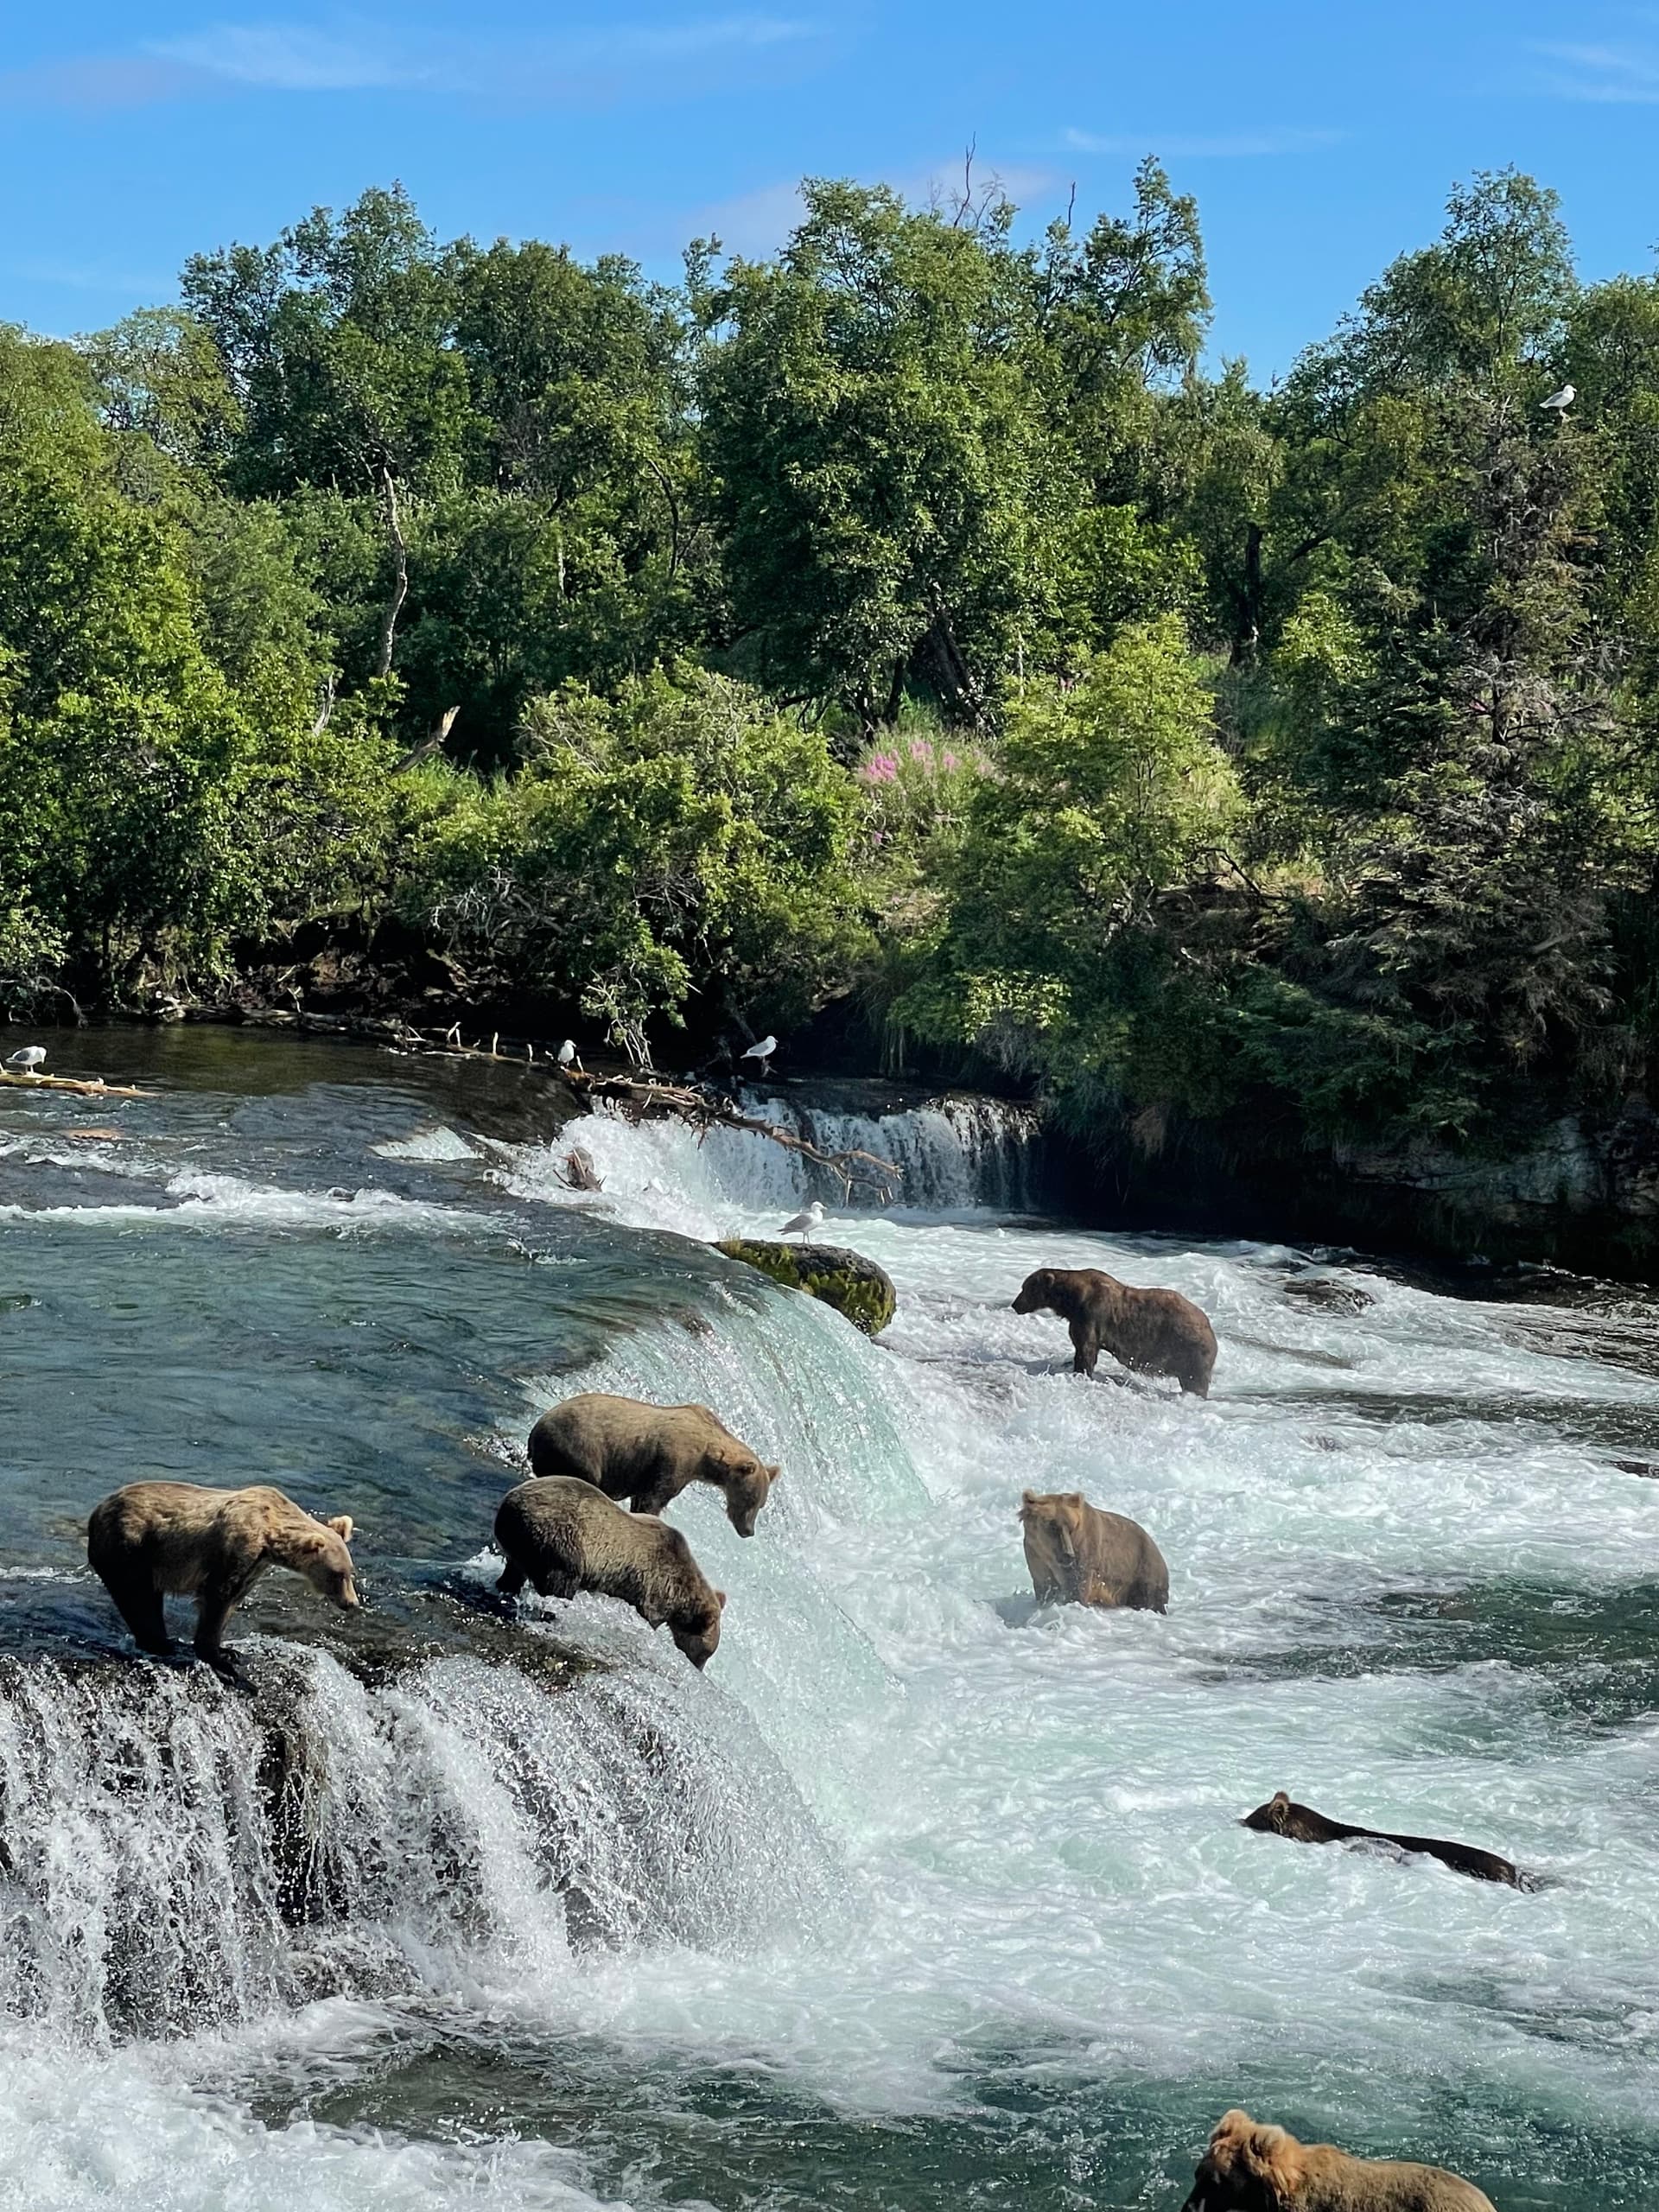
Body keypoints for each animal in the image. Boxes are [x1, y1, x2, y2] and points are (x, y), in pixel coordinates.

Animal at [86, 1481, 359, 1674]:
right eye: (338, 1574)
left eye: (350, 1572)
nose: (351, 1603)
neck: (270, 1539)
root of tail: (96, 1512)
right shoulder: (235, 1547)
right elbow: (217, 1596)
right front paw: (220, 1662)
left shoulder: (255, 1566)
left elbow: (232, 1601)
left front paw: (227, 1651)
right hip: (133, 1548)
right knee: (138, 1597)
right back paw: (160, 1643)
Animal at [494, 1476, 726, 1668]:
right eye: (706, 1653)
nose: (698, 1668)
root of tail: (509, 1502)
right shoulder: (655, 1585)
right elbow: (649, 1615)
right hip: (559, 1539)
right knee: (560, 1582)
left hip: (526, 1543)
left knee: (515, 1571)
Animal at [527, 1393, 780, 1538]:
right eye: (752, 1500)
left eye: (761, 1504)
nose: (748, 1531)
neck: (706, 1456)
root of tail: (536, 1429)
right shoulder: (674, 1459)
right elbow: (653, 1499)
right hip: (579, 1450)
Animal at [1011, 1266, 1217, 1396]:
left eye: (1025, 1288)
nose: (1015, 1305)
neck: (1070, 1301)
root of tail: (1210, 1329)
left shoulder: (1091, 1315)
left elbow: (1086, 1349)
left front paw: (1081, 1372)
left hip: (1190, 1349)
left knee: (1195, 1381)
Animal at [1019, 1490, 1170, 1613]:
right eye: (1053, 1527)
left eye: (1071, 1528)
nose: (1068, 1555)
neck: (1049, 1555)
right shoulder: (1036, 1556)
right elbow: (1045, 1586)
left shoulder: (1084, 1552)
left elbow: (1077, 1586)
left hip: (1141, 1572)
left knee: (1148, 1597)